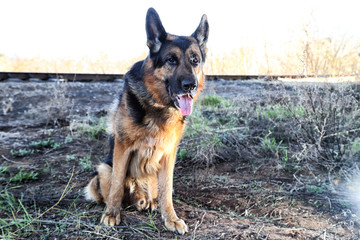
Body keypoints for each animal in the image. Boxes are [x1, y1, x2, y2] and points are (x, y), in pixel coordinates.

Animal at [84, 7, 208, 234]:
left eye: (195, 60)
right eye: (171, 60)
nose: (190, 85)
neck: (157, 104)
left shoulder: (169, 154)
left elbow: (167, 189)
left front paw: (171, 218)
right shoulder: (122, 147)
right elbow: (116, 186)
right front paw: (112, 214)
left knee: (153, 193)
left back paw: (148, 202)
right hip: (104, 168)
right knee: (113, 189)